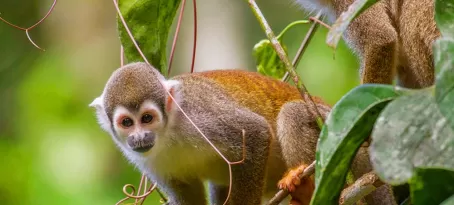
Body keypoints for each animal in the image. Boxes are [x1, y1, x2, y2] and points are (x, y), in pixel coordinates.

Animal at [89, 62, 330, 205]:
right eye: (127, 122)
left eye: (147, 118)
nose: (139, 137)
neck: (168, 133)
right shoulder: (148, 160)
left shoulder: (198, 117)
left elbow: (255, 131)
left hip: (328, 123)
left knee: (293, 113)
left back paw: (305, 187)